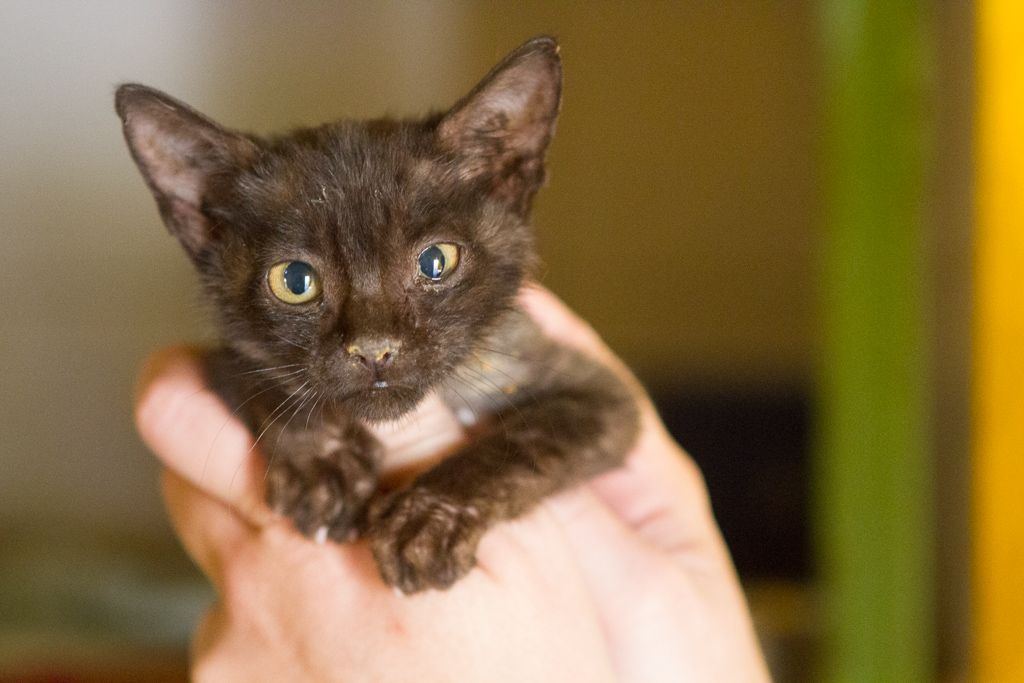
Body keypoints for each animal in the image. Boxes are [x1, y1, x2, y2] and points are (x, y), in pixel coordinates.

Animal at [116, 37, 634, 593]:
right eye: (294, 281)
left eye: (436, 262)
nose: (374, 350)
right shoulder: (216, 357)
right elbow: (257, 372)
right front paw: (324, 464)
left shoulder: (602, 393)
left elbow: (526, 442)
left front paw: (430, 518)